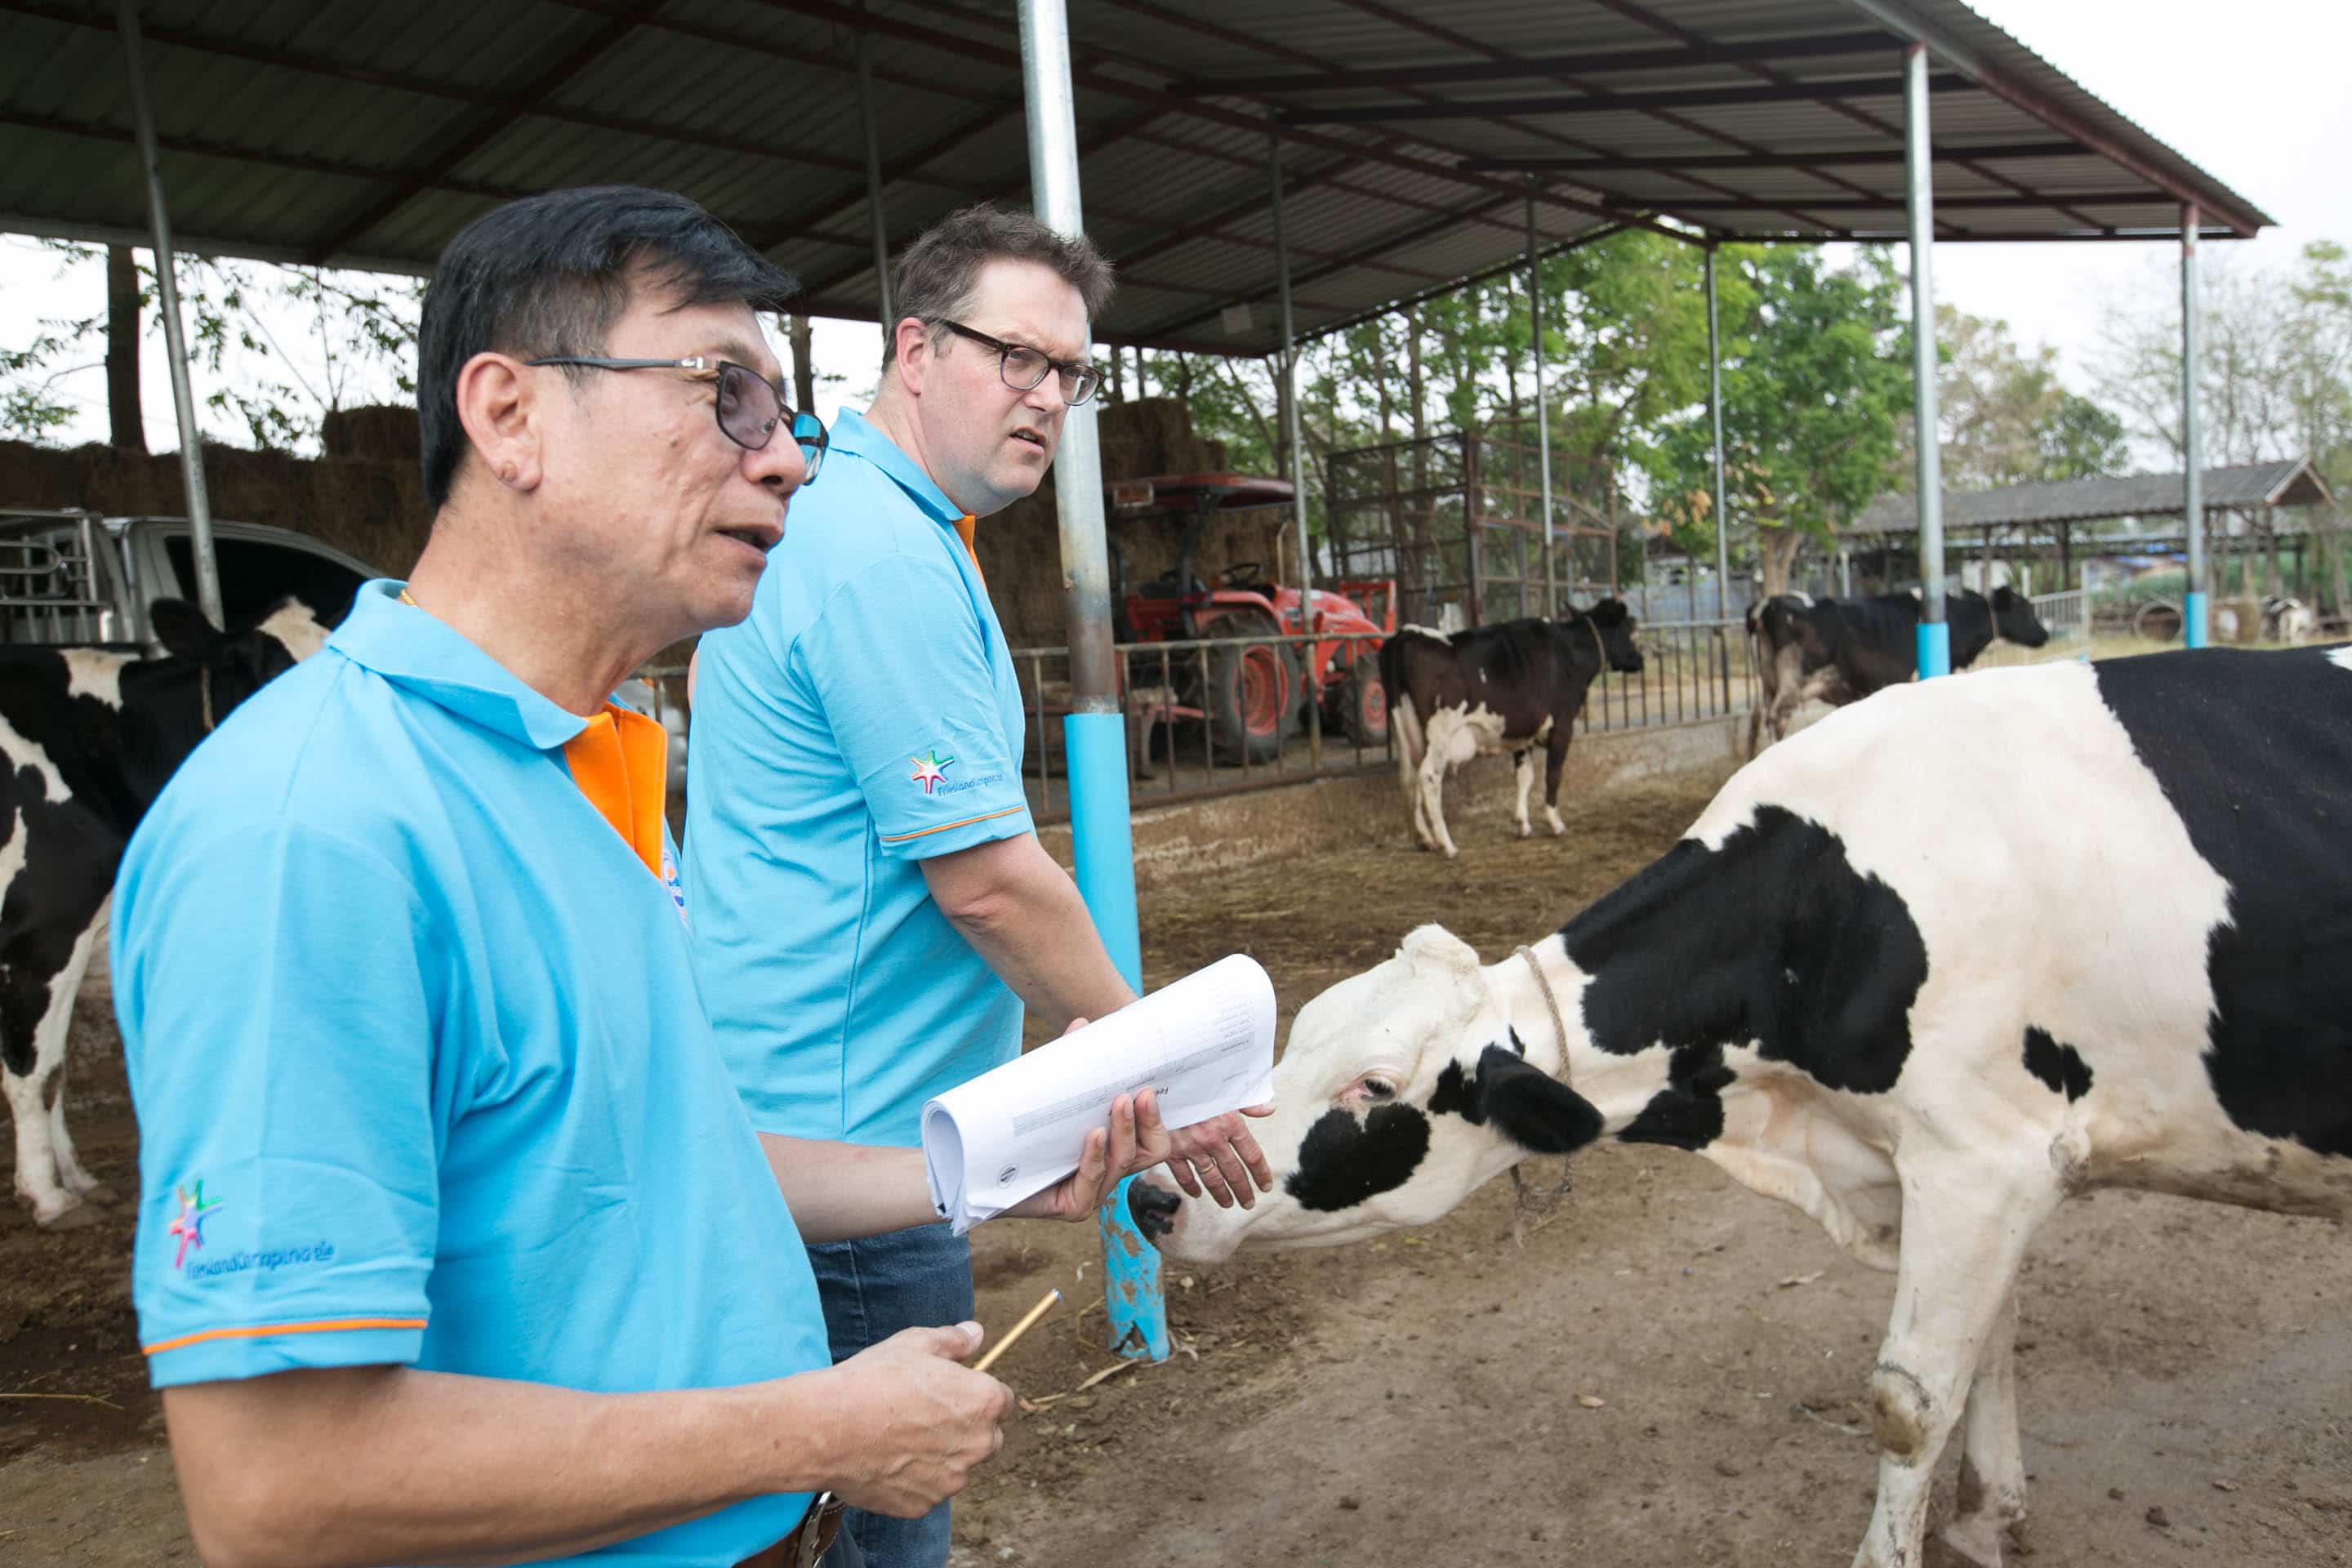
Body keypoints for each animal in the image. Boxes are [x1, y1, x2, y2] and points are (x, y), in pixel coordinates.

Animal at [4, 601, 329, 1222]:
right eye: (268, 679)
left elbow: (55, 1066)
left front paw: (75, 1178)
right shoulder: (44, 936)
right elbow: (38, 1072)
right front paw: (50, 1196)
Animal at [1147, 639, 2352, 1568]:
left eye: (1375, 1088)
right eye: (1298, 1032)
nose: (1157, 1197)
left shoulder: (1981, 1159)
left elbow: (1911, 1401)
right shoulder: (1980, 1166)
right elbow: (1990, 1348)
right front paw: (1987, 1518)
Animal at [1373, 601, 1646, 860]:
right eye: (1630, 631)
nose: (1641, 660)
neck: (1569, 651)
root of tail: (1408, 634)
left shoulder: (1522, 731)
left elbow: (1524, 776)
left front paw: (1522, 824)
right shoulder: (1563, 725)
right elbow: (1553, 775)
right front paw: (1554, 822)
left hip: (1405, 732)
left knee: (1409, 777)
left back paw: (1423, 839)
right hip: (1440, 734)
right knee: (1429, 776)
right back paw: (1448, 845)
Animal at [1749, 592, 2060, 756]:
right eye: (2025, 611)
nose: (2045, 635)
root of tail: (1770, 603)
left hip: (1769, 683)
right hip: (1792, 683)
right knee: (1776, 721)